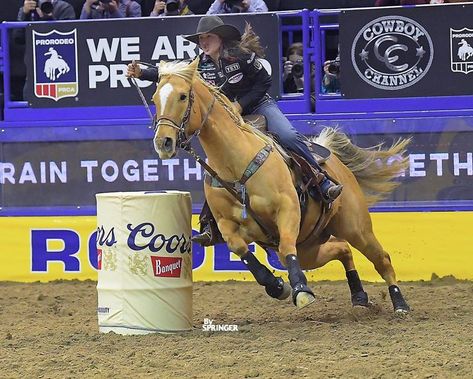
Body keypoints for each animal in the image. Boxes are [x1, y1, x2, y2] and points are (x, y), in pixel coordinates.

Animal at [152, 59, 410, 314]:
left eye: (183, 96)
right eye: (155, 98)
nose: (163, 142)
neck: (236, 165)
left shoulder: (287, 209)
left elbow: (286, 248)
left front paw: (302, 291)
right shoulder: (227, 226)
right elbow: (243, 252)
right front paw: (277, 286)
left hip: (356, 227)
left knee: (381, 259)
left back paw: (400, 304)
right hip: (309, 248)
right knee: (342, 248)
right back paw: (358, 295)